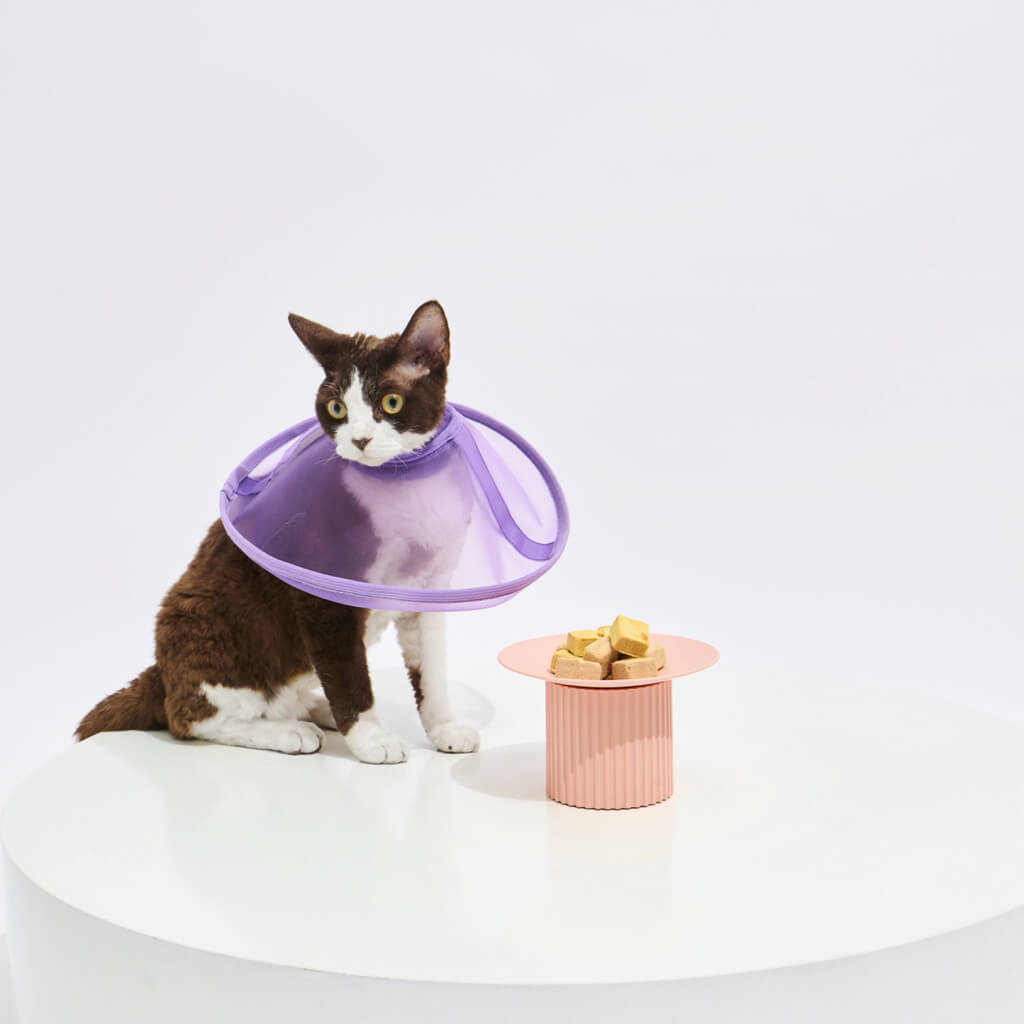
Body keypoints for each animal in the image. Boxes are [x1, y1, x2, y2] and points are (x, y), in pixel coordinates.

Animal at [75, 296, 479, 761]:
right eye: (337, 409)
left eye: (391, 402)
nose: (359, 440)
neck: (400, 489)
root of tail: (161, 672)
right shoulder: (322, 597)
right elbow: (349, 674)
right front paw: (371, 740)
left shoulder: (428, 590)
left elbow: (431, 670)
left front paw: (445, 728)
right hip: (203, 627)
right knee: (189, 717)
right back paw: (288, 731)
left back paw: (312, 709)